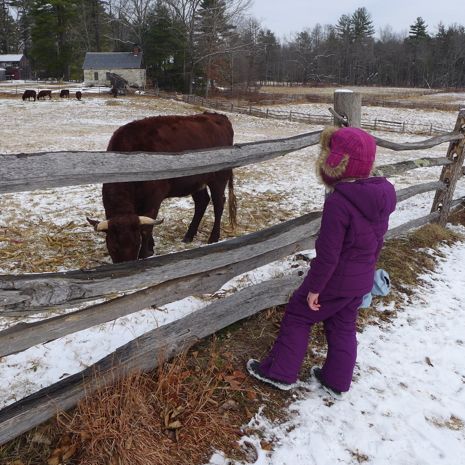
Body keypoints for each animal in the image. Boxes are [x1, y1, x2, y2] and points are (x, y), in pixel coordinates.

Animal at [88, 112, 236, 262]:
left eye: (136, 244)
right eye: (113, 247)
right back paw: (189, 235)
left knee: (218, 204)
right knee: (202, 202)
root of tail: (219, 116)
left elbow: (147, 227)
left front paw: (145, 253)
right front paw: (151, 246)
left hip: (219, 178)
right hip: (196, 182)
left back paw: (213, 238)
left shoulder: (154, 197)